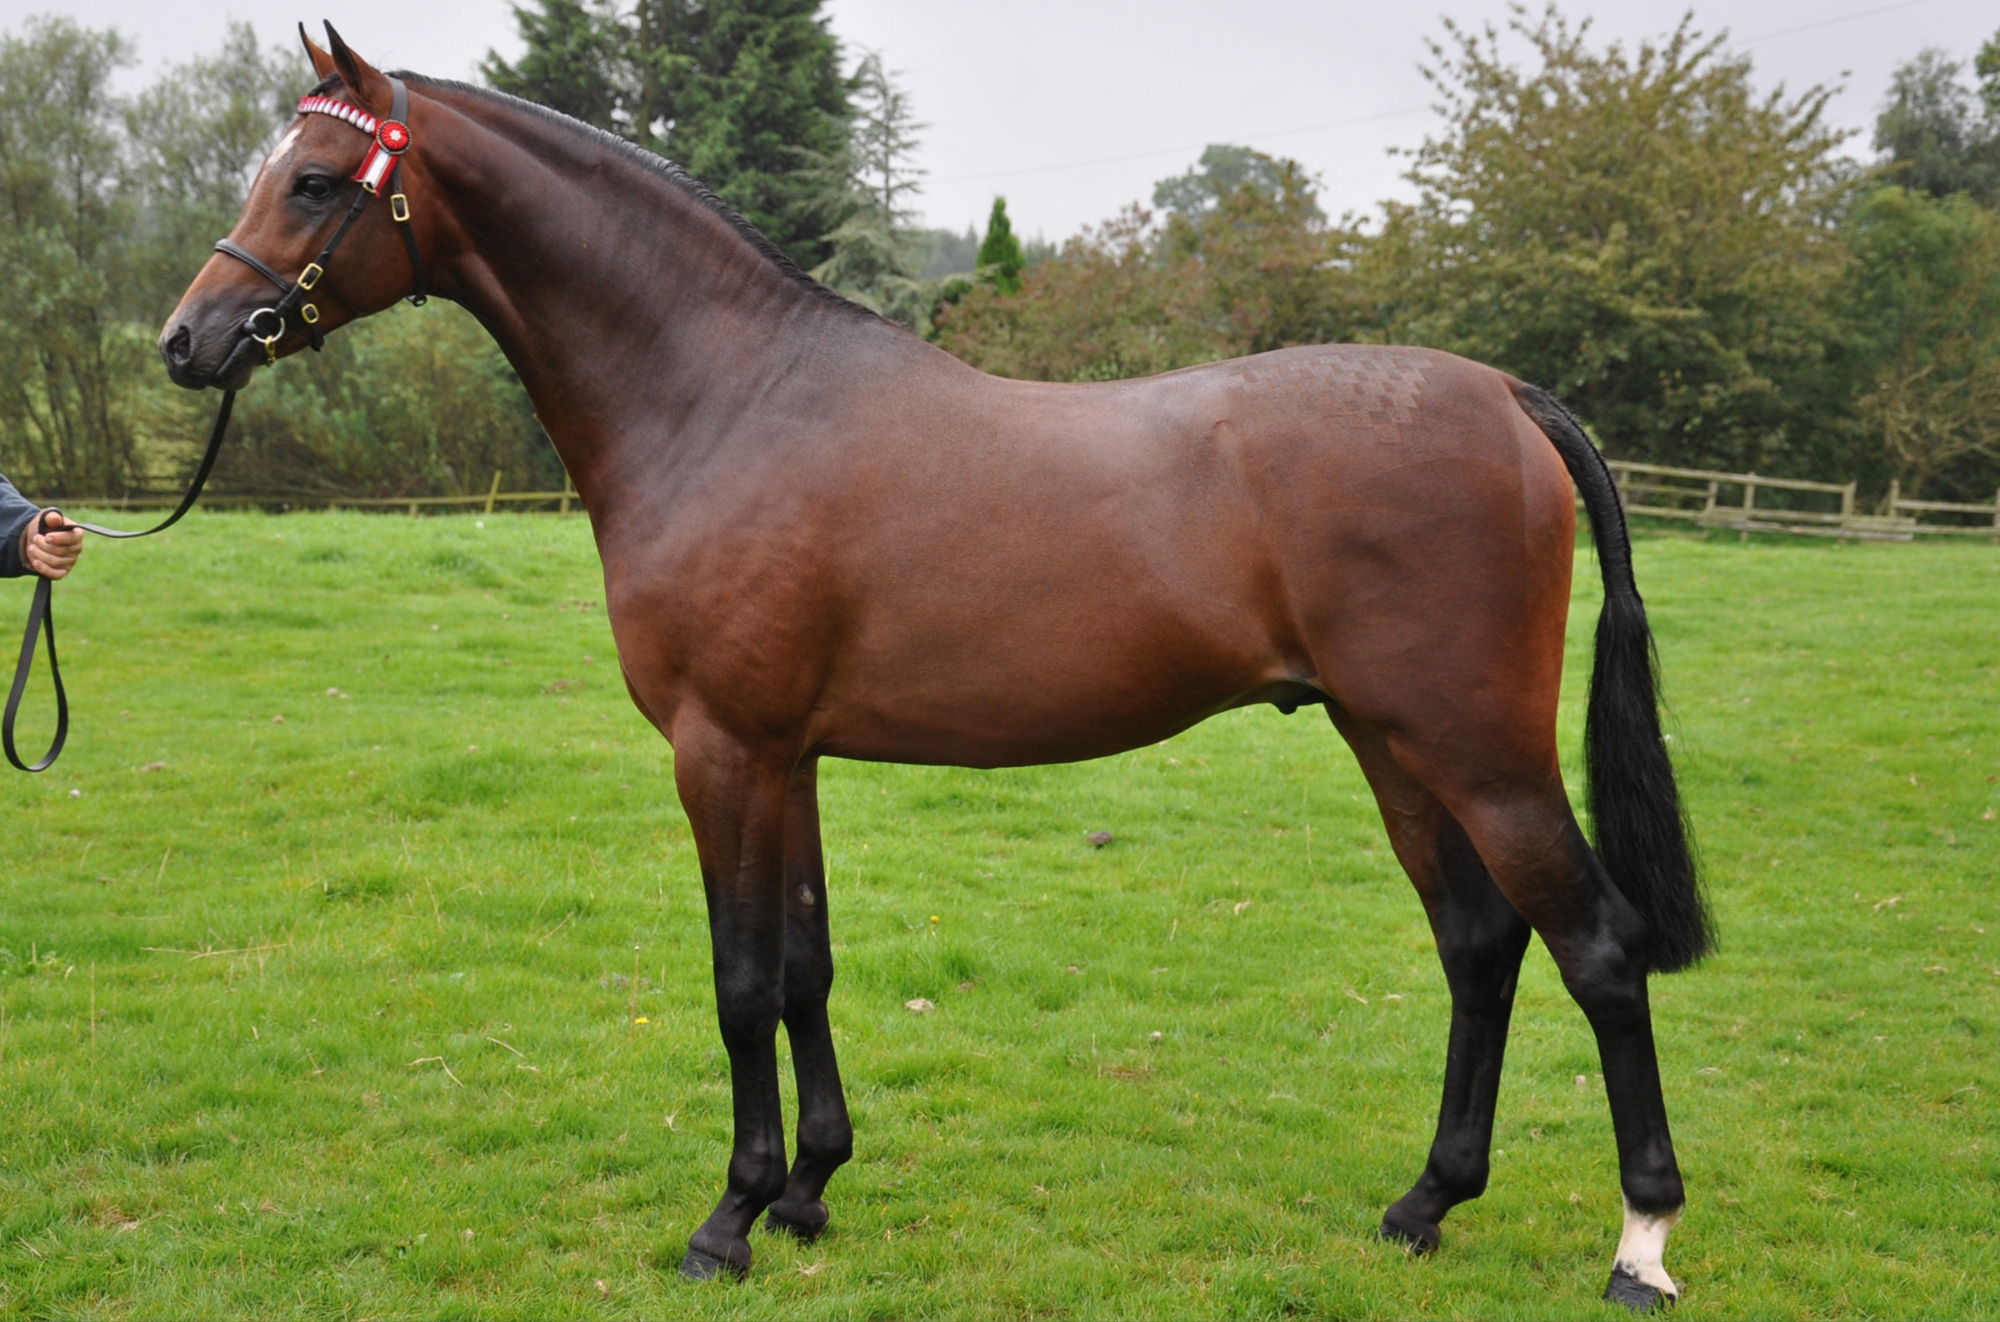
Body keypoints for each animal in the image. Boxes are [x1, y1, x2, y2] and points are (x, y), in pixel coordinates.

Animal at [159, 27, 1710, 1310]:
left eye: (312, 180)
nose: (189, 340)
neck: (724, 399)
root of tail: (1501, 394)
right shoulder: (785, 754)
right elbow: (804, 964)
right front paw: (808, 1191)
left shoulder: (719, 747)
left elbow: (738, 979)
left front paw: (727, 1219)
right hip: (1388, 741)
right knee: (1480, 943)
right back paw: (1424, 1201)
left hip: (1477, 748)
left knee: (1599, 947)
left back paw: (1639, 1243)